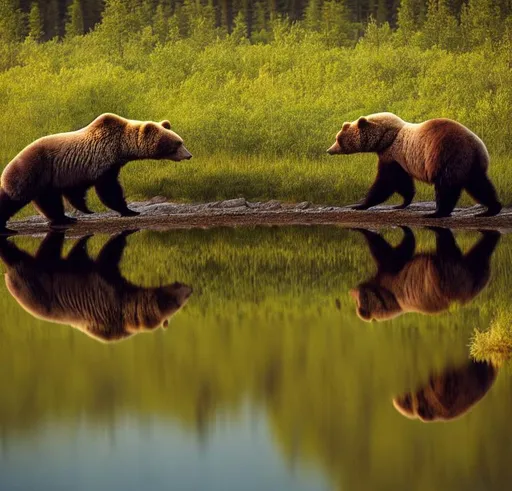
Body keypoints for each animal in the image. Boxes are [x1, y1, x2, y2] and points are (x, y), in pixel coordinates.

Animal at [0, 114, 192, 234]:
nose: (189, 155)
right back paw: (6, 227)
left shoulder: (79, 170)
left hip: (46, 179)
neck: (121, 147)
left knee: (49, 201)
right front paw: (130, 210)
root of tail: (9, 165)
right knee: (14, 196)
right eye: (177, 143)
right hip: (31, 170)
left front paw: (86, 209)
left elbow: (76, 192)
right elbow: (109, 189)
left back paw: (64, 218)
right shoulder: (100, 162)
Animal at [328, 114, 500, 218]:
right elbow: (402, 182)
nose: (329, 150)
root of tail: (476, 147)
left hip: (447, 156)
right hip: (472, 163)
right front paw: (402, 203)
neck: (385, 137)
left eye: (338, 139)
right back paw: (491, 209)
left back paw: (437, 212)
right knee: (479, 184)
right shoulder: (398, 158)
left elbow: (386, 182)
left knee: (446, 186)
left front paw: (360, 204)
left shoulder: (392, 154)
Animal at [350, 228, 498, 322]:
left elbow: (391, 253)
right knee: (480, 255)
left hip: (443, 274)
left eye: (357, 301)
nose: (352, 291)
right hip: (474, 275)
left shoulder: (392, 272)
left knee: (446, 250)